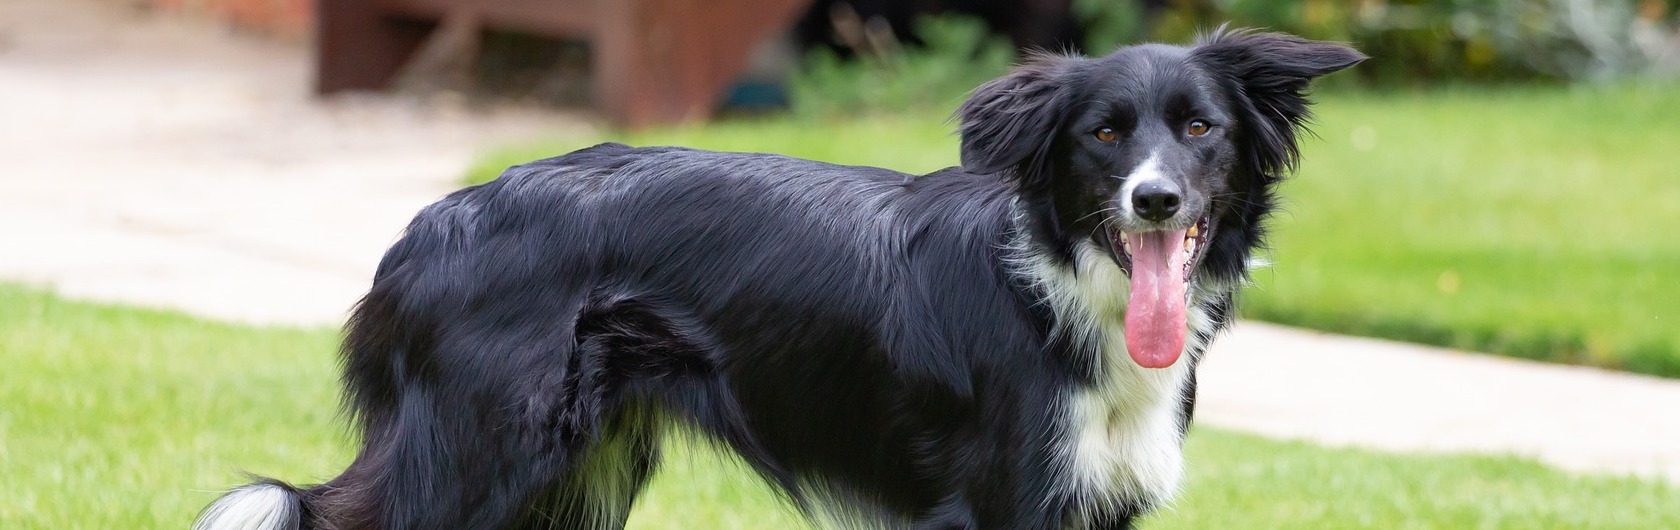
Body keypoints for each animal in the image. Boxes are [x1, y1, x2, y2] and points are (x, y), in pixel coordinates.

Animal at [196, 27, 1357, 530]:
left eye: (1201, 130)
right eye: (1103, 136)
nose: (1155, 201)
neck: (1071, 289)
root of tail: (434, 220)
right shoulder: (1000, 506)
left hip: (571, 476)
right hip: (480, 458)